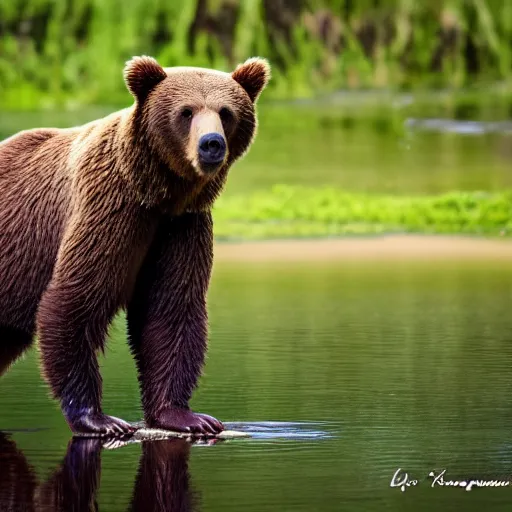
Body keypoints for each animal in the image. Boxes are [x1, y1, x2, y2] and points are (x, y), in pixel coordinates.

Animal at [0, 55, 272, 436]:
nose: (211, 144)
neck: (157, 192)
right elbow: (77, 297)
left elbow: (170, 309)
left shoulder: (179, 227)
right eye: (186, 111)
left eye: (226, 112)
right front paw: (100, 419)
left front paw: (187, 416)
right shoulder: (109, 210)